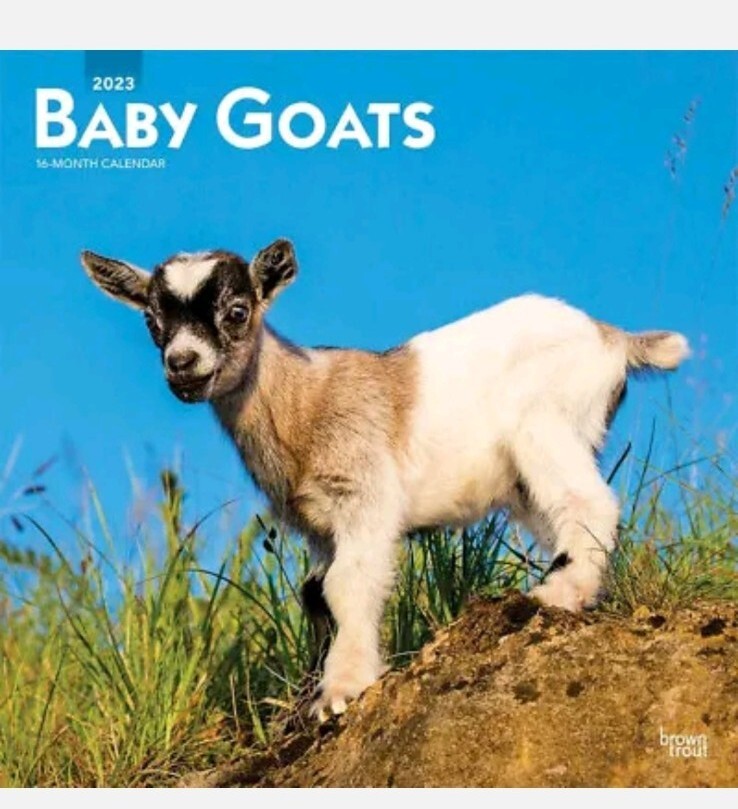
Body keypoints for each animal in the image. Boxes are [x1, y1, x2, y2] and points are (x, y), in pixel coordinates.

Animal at [81, 239, 689, 719]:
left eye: (236, 310)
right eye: (151, 322)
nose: (182, 364)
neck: (302, 403)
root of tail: (614, 338)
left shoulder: (363, 498)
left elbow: (347, 585)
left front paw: (342, 691)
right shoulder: (320, 528)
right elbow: (315, 594)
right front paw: (311, 692)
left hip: (546, 424)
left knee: (590, 502)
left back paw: (558, 592)